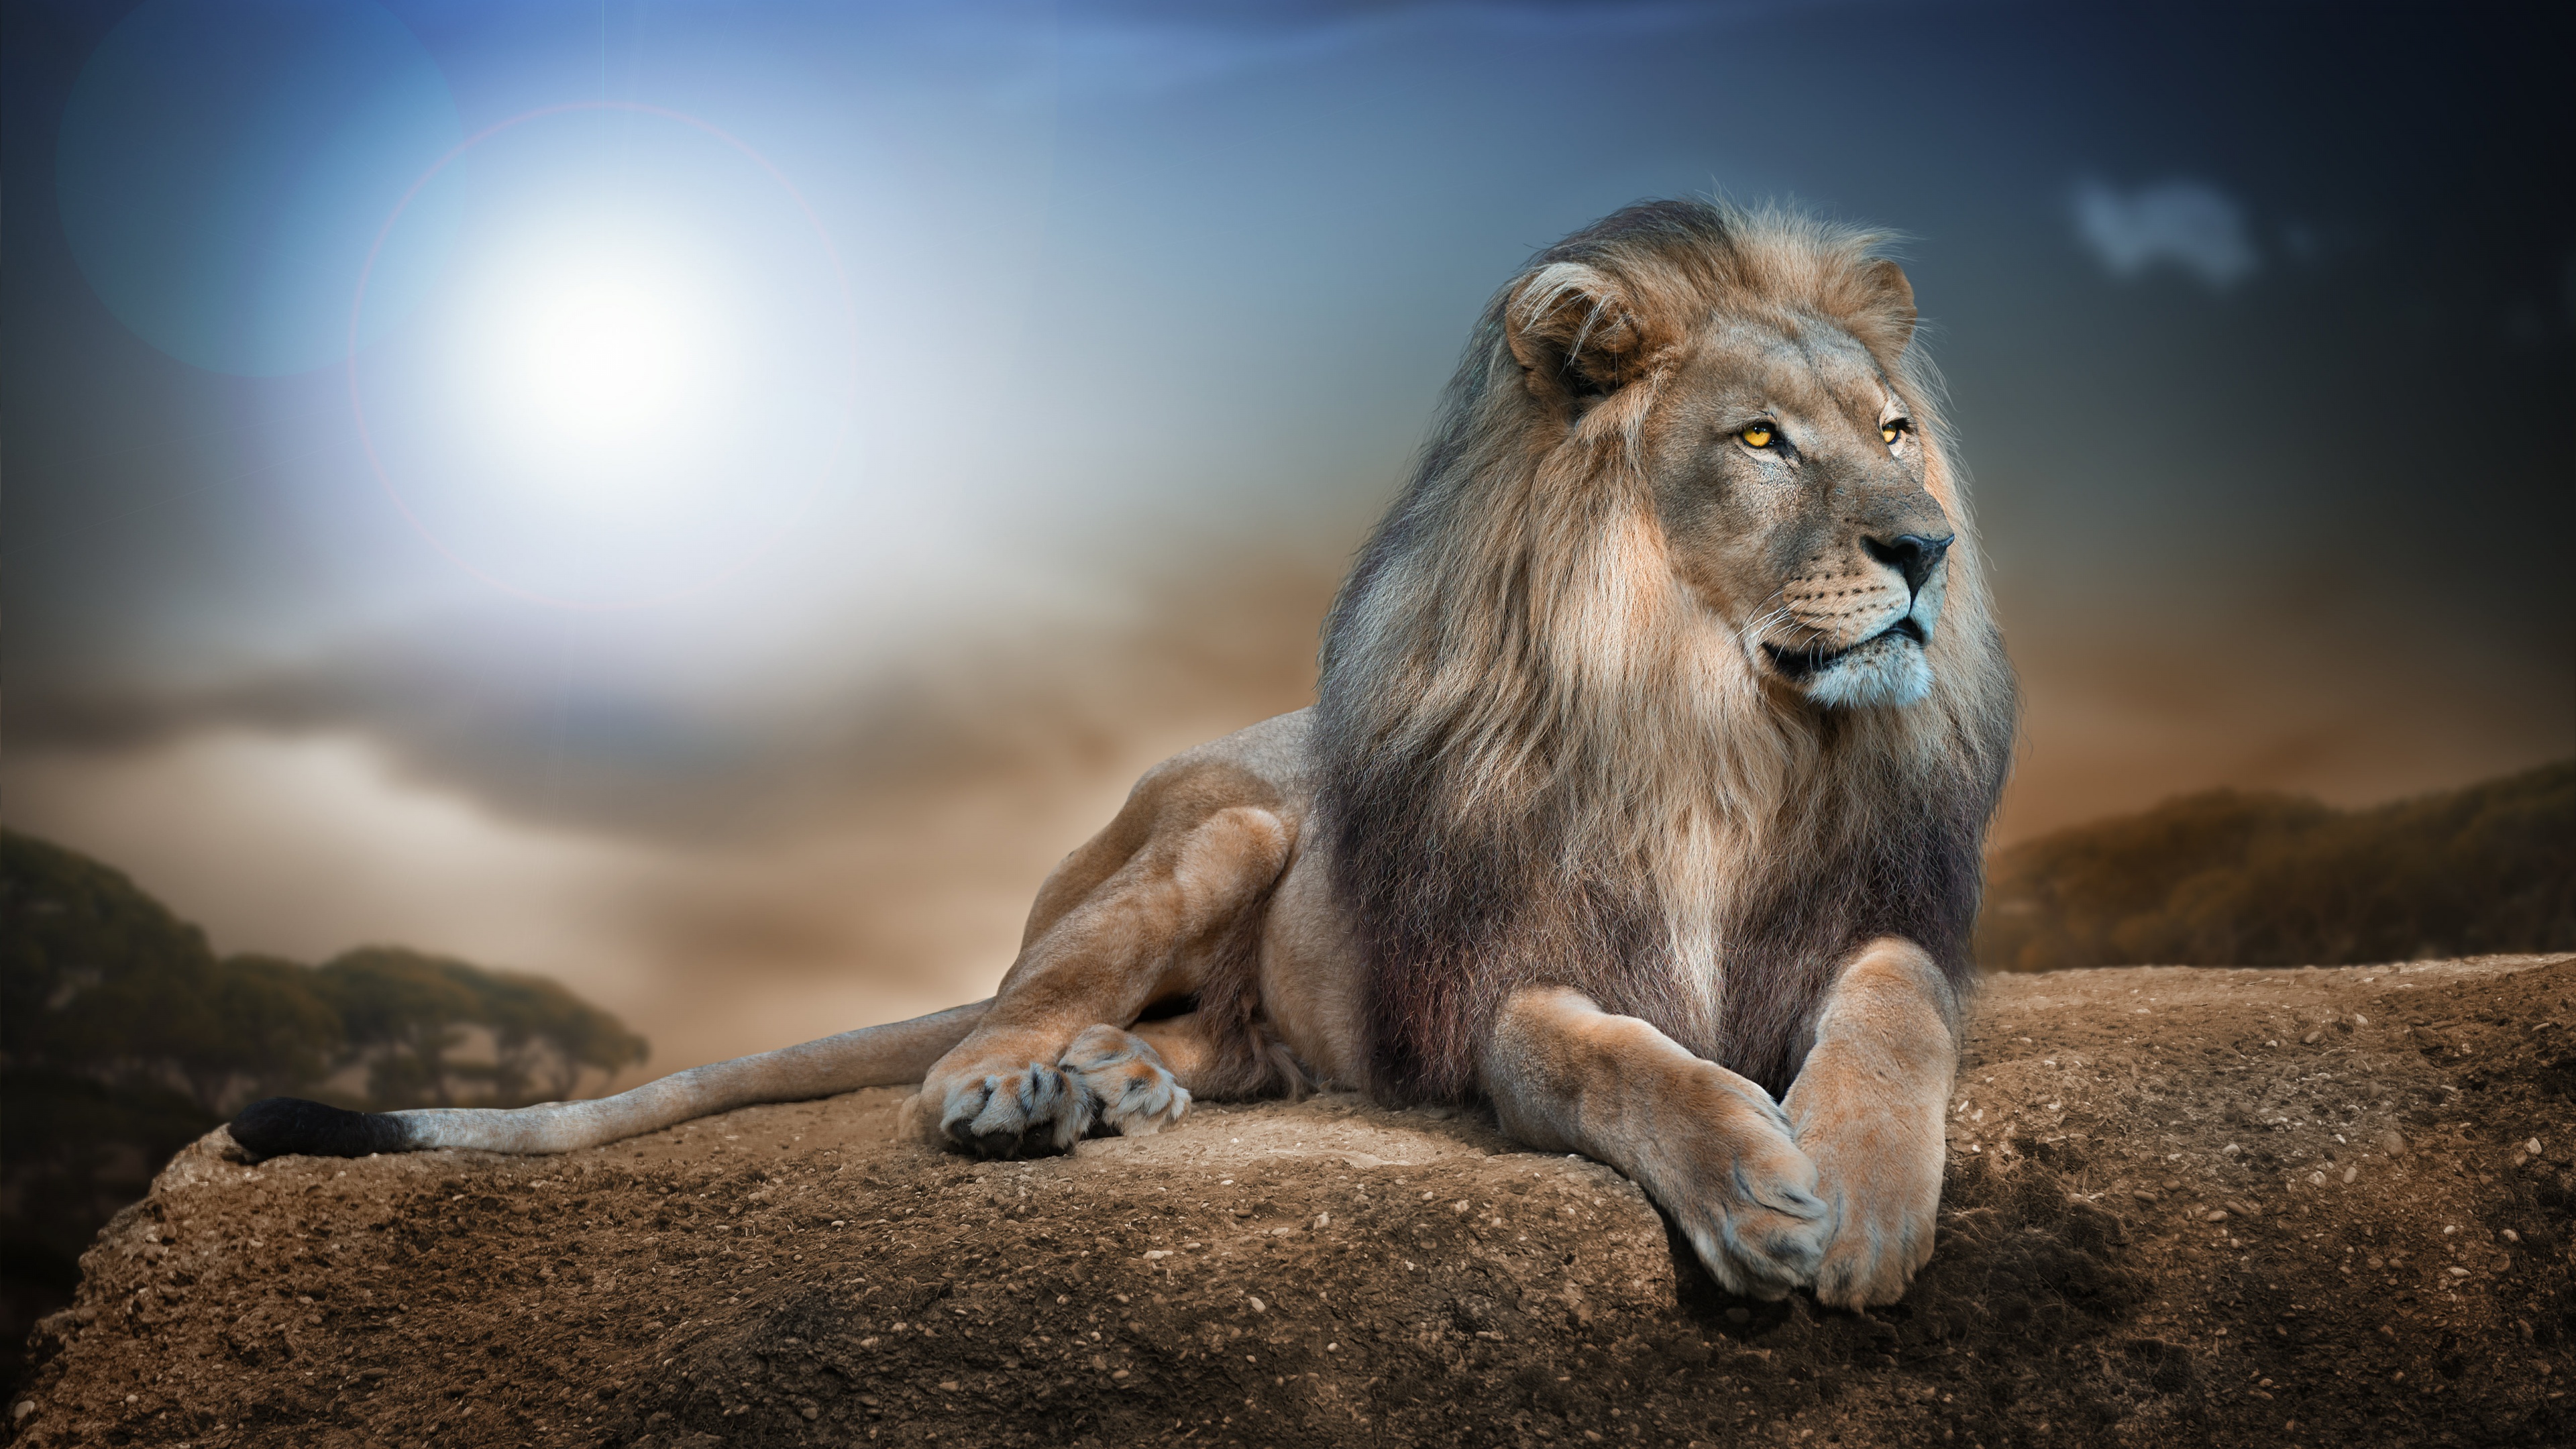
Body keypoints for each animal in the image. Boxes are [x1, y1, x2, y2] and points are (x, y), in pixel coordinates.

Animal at [231, 198, 2016, 1308]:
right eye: (1761, 440)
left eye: (1896, 432)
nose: (1926, 548)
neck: (1715, 727)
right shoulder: (1495, 984)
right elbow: (1611, 1057)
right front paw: (1754, 1185)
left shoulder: (1876, 919)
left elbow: (1893, 1011)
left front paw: (1857, 1196)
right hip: (1225, 831)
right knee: (991, 1019)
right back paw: (1023, 1087)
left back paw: (1119, 1081)